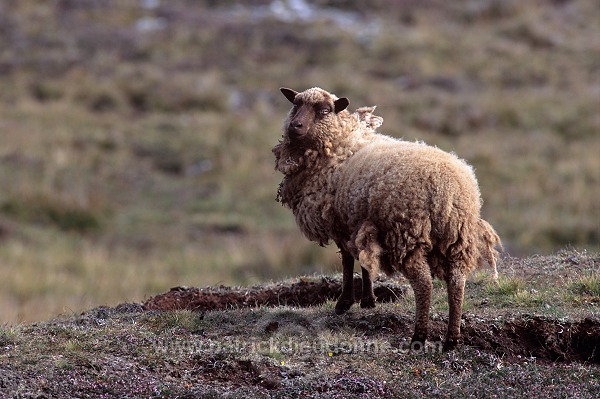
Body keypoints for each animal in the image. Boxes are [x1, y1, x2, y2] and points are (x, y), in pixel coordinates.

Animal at [274, 86, 502, 350]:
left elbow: (348, 262)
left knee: (424, 284)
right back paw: (451, 339)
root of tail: (449, 189)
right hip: (456, 237)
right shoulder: (358, 224)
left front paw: (344, 303)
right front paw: (368, 301)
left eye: (324, 111)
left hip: (405, 233)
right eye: (295, 105)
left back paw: (419, 336)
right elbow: (364, 262)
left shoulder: (341, 224)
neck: (343, 146)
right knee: (456, 282)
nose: (295, 126)